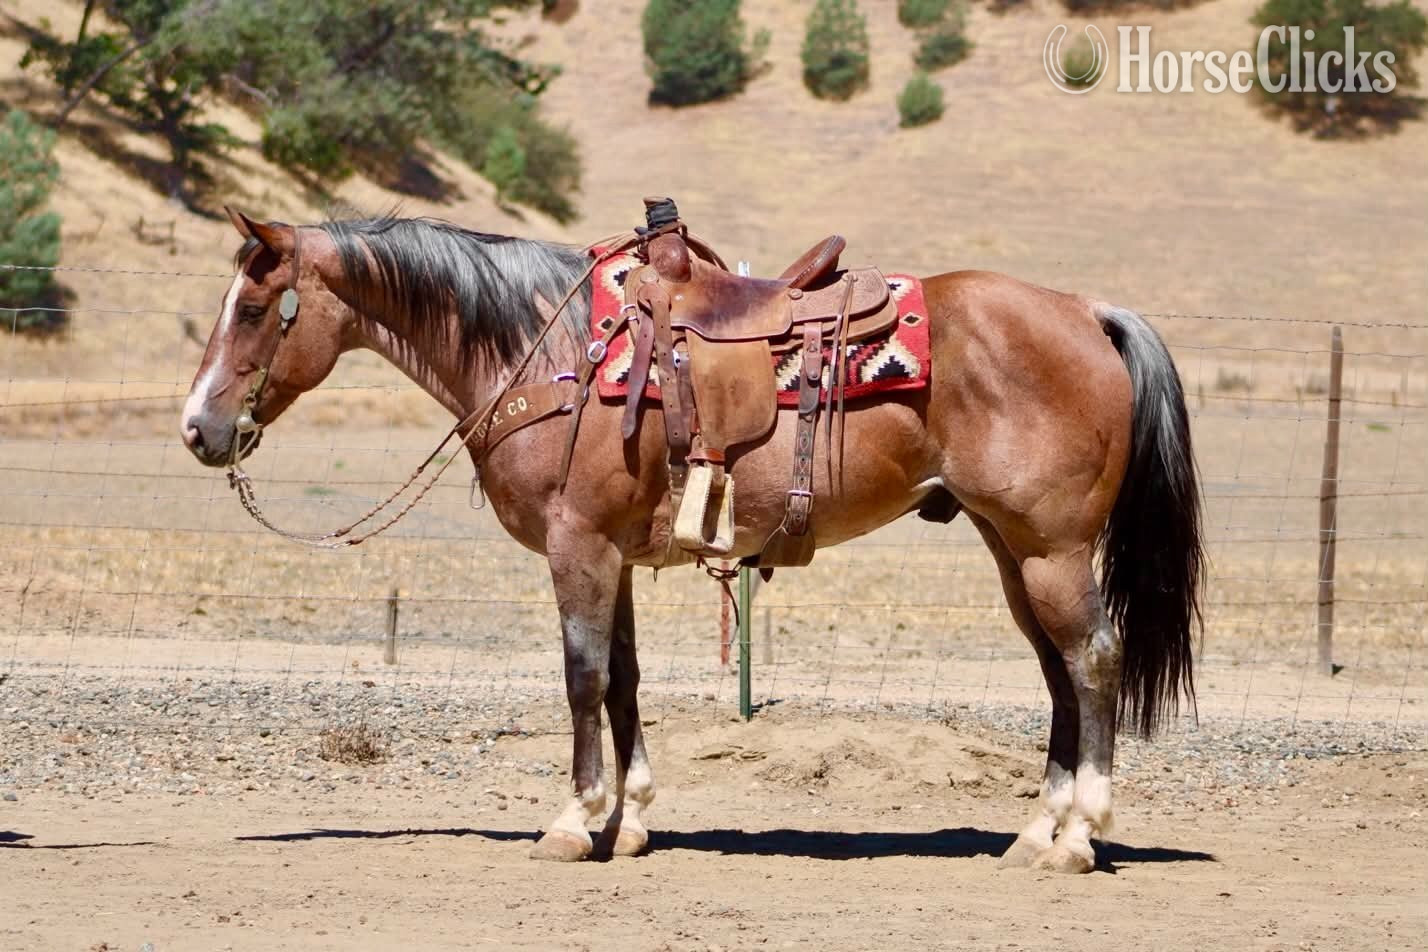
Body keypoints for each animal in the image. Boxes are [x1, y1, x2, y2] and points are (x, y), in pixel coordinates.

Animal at [180, 209, 1202, 873]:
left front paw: (573, 821)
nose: (198, 429)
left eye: (251, 309)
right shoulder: (614, 555)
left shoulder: (577, 547)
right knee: (1057, 670)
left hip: (1051, 548)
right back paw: (1035, 833)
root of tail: (1086, 312)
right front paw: (629, 824)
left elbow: (582, 678)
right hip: (1009, 547)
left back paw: (1079, 838)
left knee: (1094, 660)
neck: (553, 353)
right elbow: (625, 682)